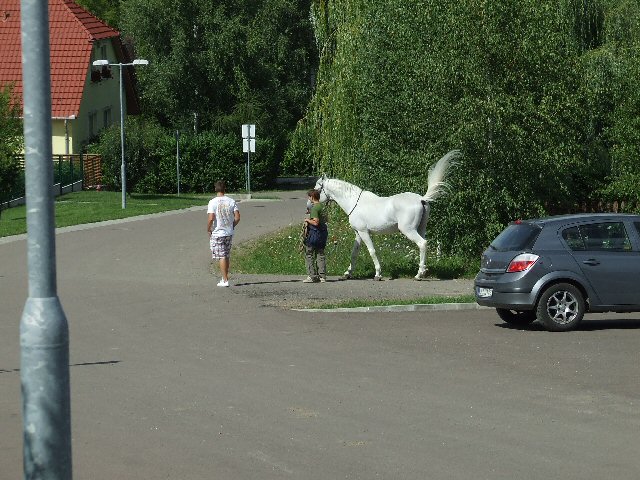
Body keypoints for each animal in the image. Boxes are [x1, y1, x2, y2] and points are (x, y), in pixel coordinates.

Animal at [314, 148, 458, 280]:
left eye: (317, 189)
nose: (312, 202)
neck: (354, 202)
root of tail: (421, 199)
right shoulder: (358, 234)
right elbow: (354, 253)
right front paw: (347, 274)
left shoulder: (364, 232)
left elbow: (372, 251)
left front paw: (378, 274)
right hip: (421, 229)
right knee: (424, 244)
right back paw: (423, 271)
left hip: (408, 230)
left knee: (422, 244)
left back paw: (418, 275)